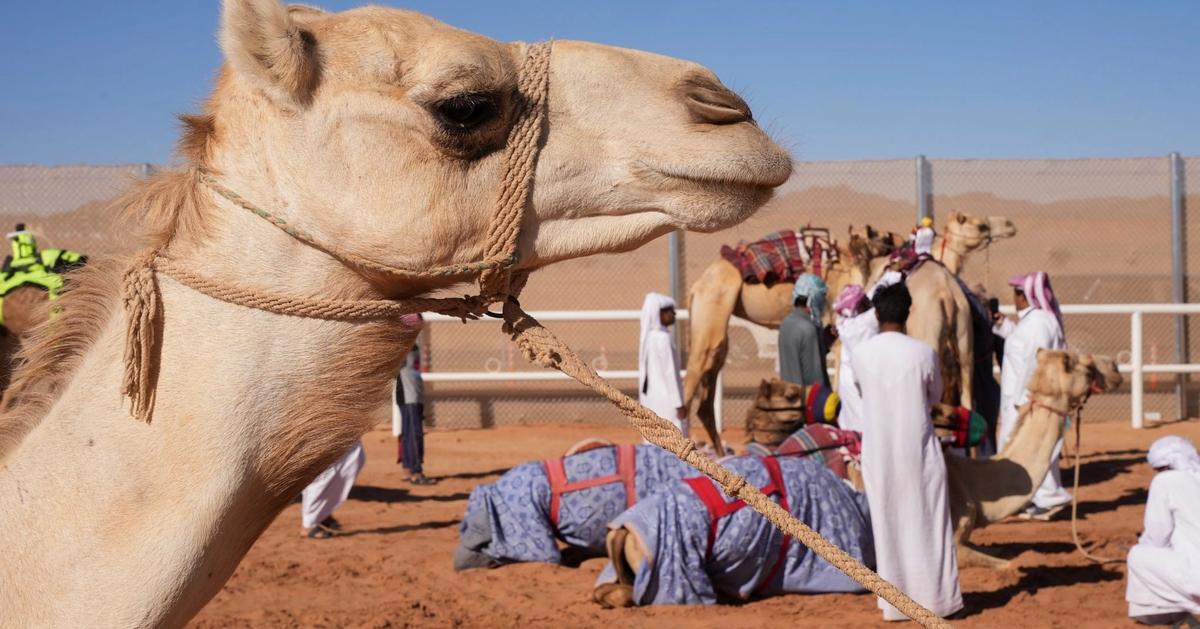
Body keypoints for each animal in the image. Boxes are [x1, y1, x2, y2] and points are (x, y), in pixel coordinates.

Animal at [597, 349, 1121, 607]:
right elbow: (1009, 565)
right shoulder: (952, 534)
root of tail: (622, 531)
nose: (1115, 370)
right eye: (1082, 363)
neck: (972, 485)